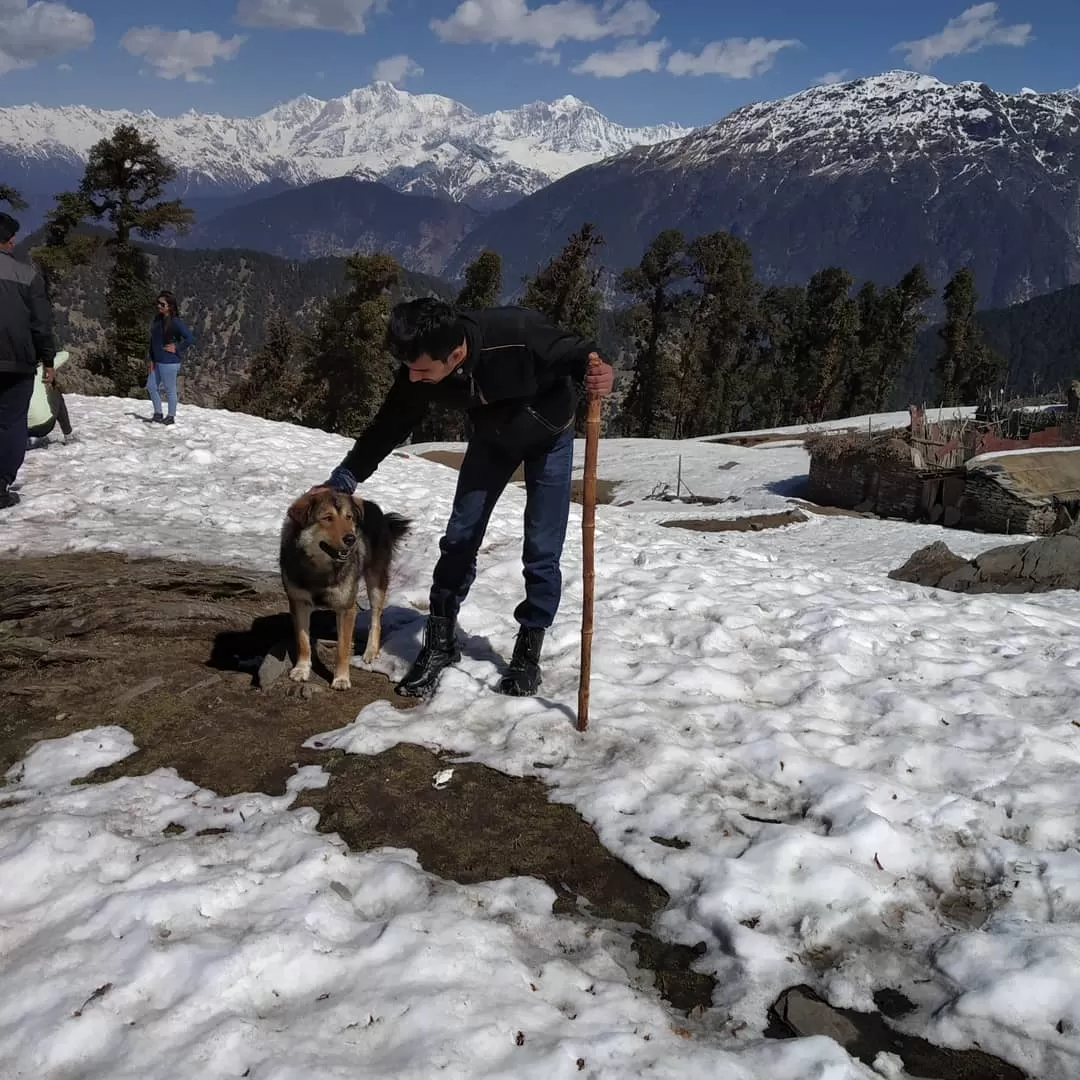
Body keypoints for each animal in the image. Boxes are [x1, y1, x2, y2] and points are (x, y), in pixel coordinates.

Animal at [280, 490, 410, 691]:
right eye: (327, 518)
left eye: (349, 517)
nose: (351, 539)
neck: (320, 569)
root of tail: (375, 508)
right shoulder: (298, 602)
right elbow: (302, 641)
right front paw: (301, 669)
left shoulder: (346, 608)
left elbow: (342, 649)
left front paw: (341, 679)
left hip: (375, 582)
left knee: (376, 619)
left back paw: (370, 651)